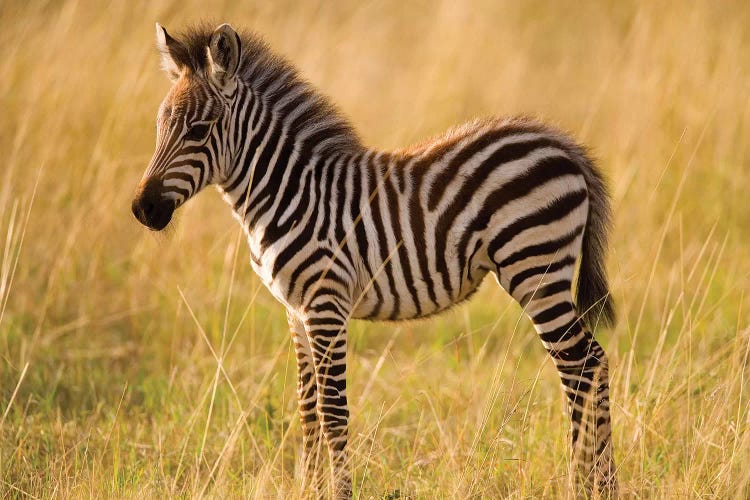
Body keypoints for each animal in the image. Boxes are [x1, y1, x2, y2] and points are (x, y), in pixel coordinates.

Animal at [132, 23, 620, 500]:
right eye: (158, 126)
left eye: (200, 130)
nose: (142, 209)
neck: (286, 192)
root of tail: (562, 145)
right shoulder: (296, 311)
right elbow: (307, 410)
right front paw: (309, 491)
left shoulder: (326, 304)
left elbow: (332, 412)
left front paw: (339, 493)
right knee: (587, 363)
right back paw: (598, 484)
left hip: (534, 267)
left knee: (582, 365)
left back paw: (587, 486)